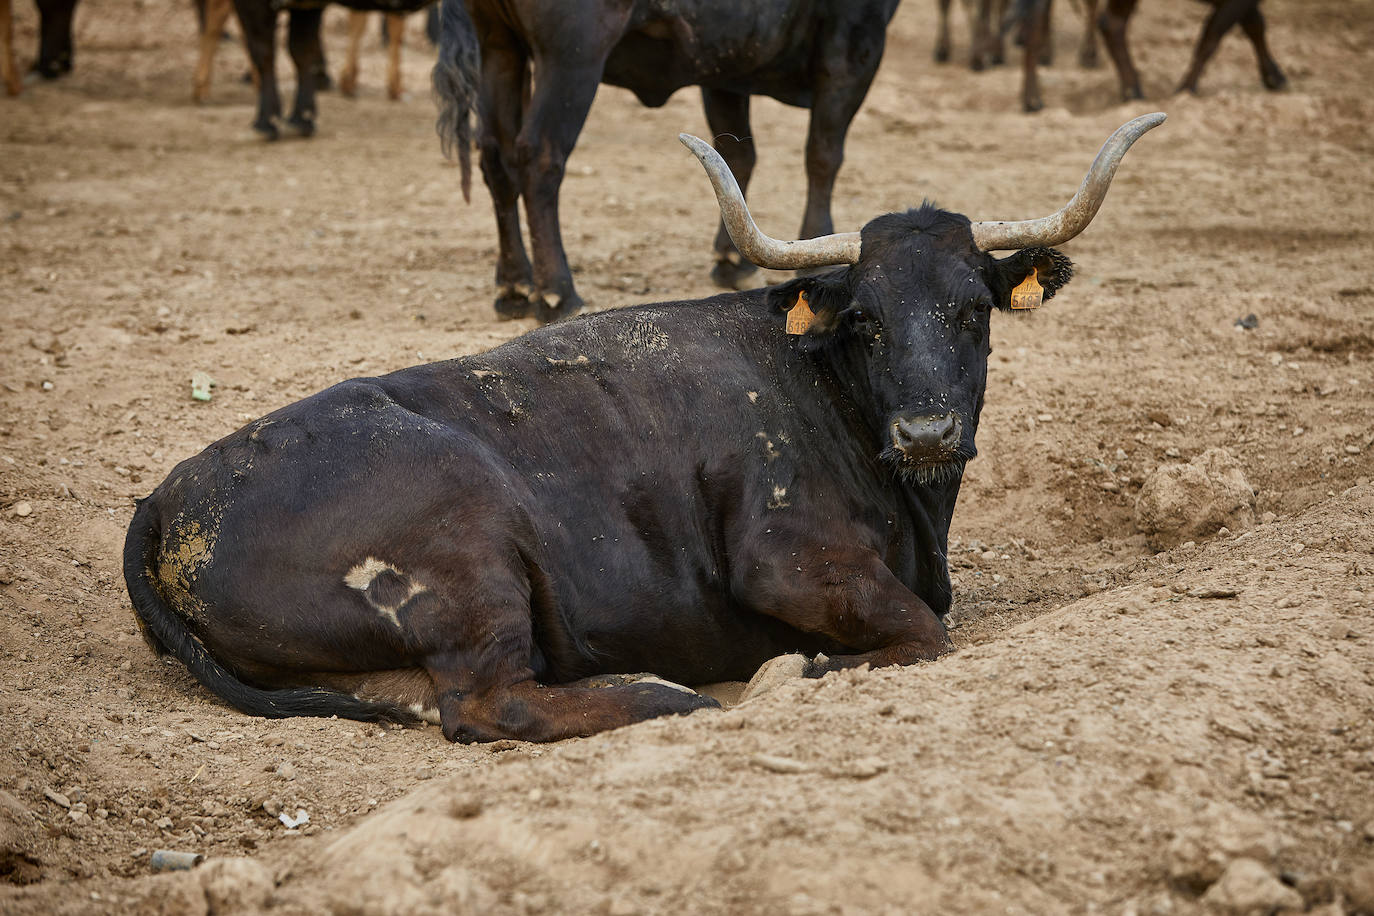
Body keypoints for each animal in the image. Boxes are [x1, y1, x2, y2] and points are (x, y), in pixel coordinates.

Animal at [123, 114, 1165, 747]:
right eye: (864, 318)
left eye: (973, 310)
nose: (925, 431)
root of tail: (169, 494)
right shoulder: (788, 559)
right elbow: (921, 630)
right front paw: (801, 669)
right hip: (469, 555)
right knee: (488, 702)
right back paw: (666, 693)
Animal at [431, 0, 901, 325]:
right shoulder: (854, 49)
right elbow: (823, 154)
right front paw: (816, 247)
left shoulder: (727, 65)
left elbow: (735, 153)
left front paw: (731, 259)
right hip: (572, 57)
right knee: (539, 157)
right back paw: (556, 291)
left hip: (498, 45)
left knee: (496, 156)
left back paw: (514, 284)